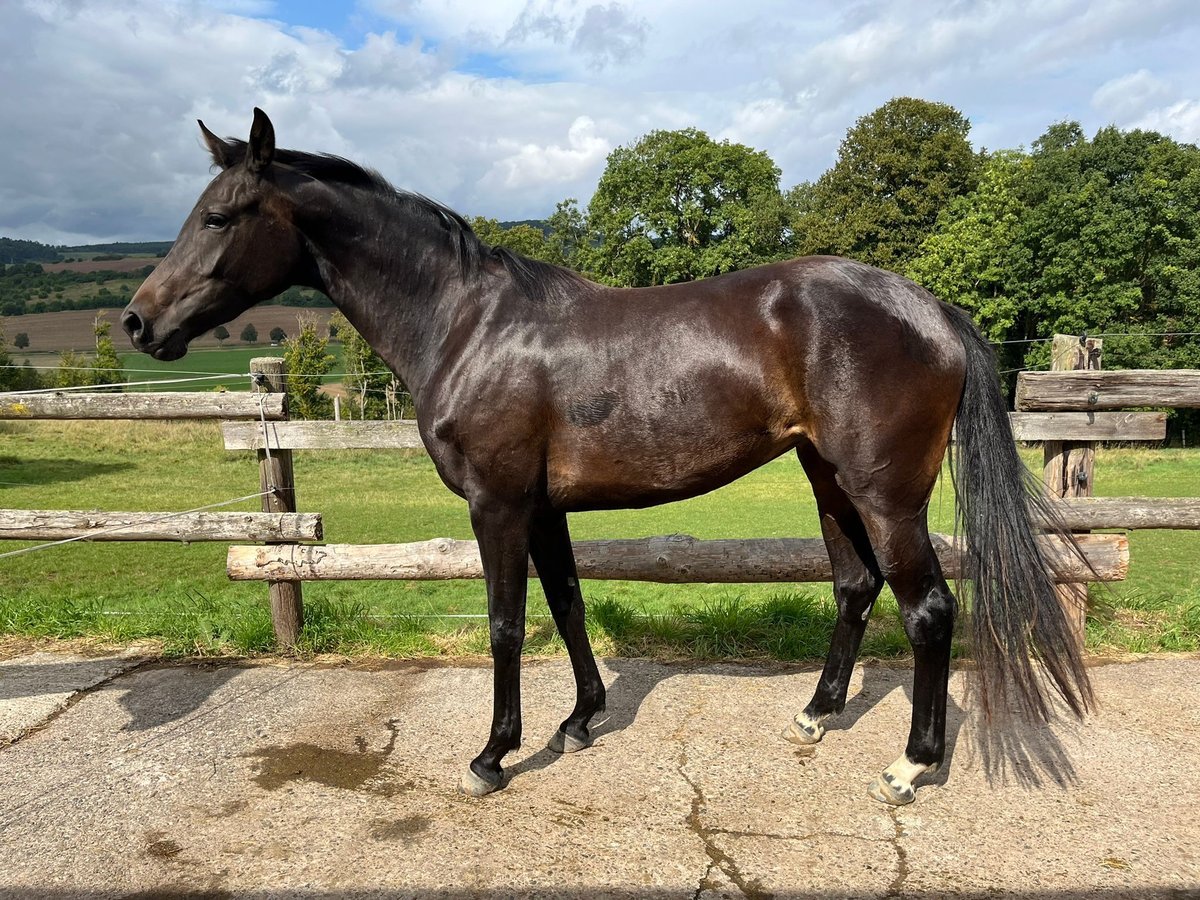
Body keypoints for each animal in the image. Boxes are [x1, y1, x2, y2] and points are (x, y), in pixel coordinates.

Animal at [124, 109, 1099, 806]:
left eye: (219, 216)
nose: (138, 321)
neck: (467, 323)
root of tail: (930, 308)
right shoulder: (543, 507)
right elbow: (567, 605)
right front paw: (581, 721)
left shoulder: (497, 504)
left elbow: (507, 622)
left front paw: (493, 755)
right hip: (827, 479)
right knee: (855, 587)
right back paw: (817, 715)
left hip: (885, 493)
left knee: (929, 609)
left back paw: (910, 767)